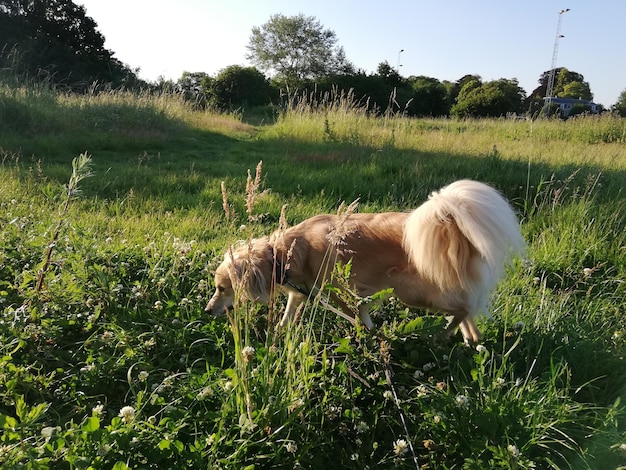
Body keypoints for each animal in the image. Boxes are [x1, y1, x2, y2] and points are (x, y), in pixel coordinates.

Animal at [205, 178, 520, 344]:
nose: (207, 310)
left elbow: (359, 318)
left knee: (465, 309)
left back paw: (442, 336)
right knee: (470, 315)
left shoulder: (345, 292)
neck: (282, 253)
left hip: (413, 292)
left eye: (221, 288)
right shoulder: (302, 291)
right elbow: (289, 312)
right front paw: (279, 332)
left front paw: (366, 338)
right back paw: (468, 341)